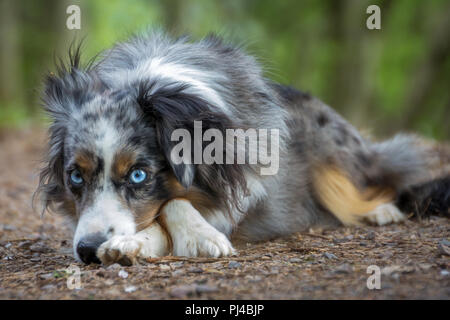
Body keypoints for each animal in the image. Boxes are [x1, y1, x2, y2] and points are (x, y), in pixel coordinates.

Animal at [35, 30, 450, 264]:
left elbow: (173, 202)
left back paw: (381, 210)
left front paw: (198, 238)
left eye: (138, 175)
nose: (87, 250)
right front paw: (130, 245)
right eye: (75, 177)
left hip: (331, 153)